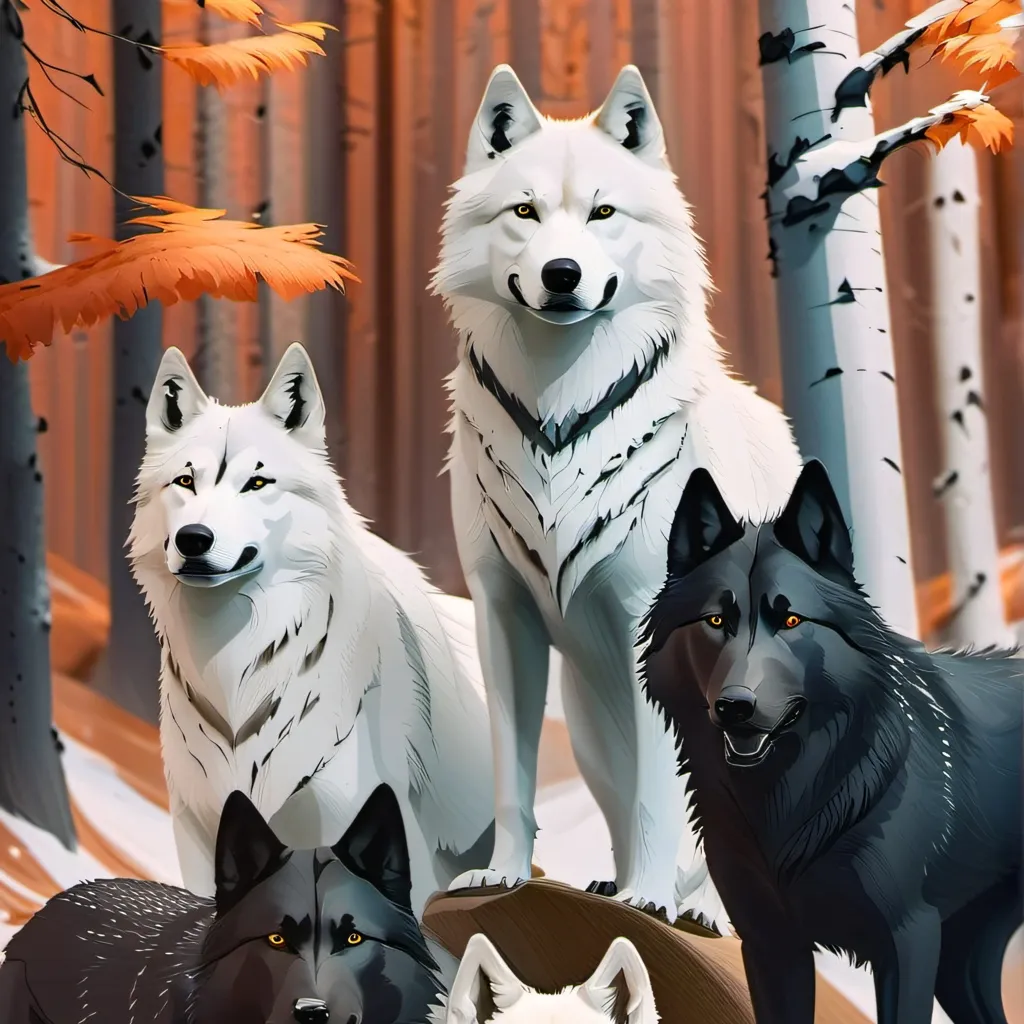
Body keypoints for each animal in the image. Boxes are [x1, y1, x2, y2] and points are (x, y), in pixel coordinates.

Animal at [432, 61, 802, 921]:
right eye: (525, 212)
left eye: (603, 213)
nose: (561, 275)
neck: (558, 426)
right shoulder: (502, 616)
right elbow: (514, 780)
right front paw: (501, 874)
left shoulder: (650, 623)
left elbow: (662, 797)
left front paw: (649, 900)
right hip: (593, 731)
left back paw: (696, 906)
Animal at [640, 458, 1023, 1024]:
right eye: (716, 620)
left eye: (791, 619)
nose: (735, 706)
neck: (794, 796)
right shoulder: (772, 948)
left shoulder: (908, 942)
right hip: (959, 964)